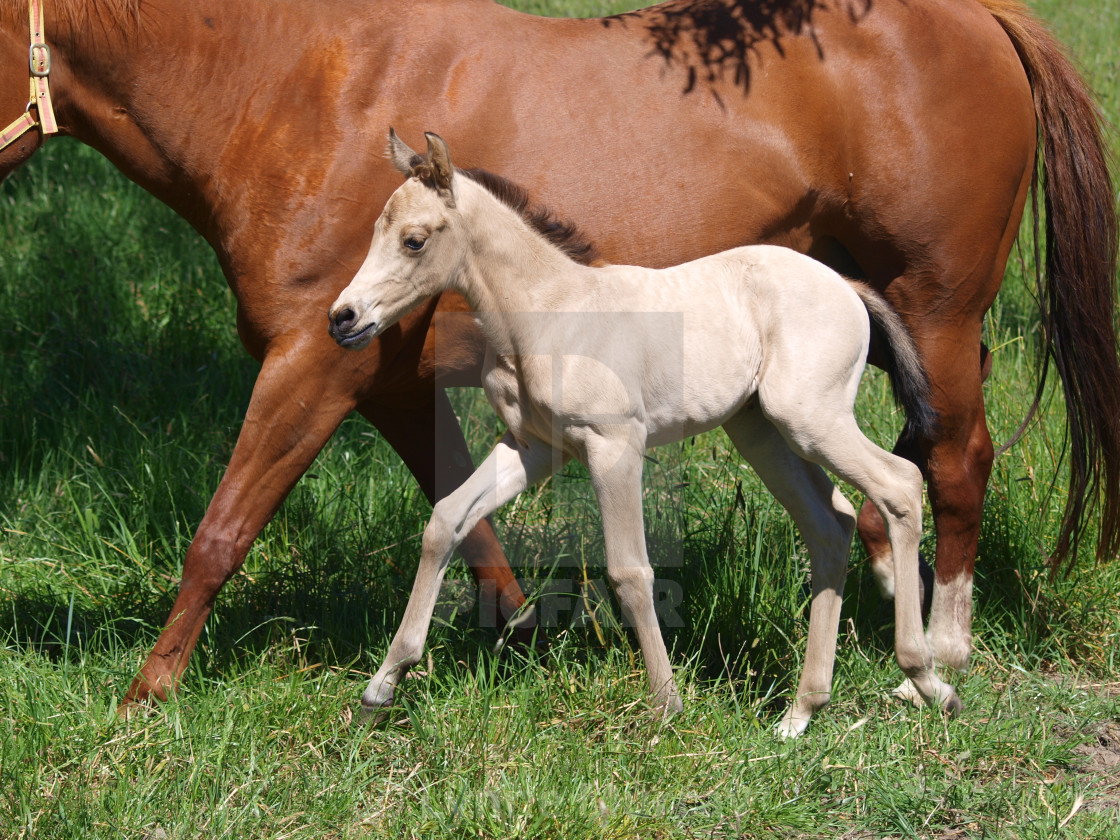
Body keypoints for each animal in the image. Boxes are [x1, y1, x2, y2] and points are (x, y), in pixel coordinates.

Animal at [327, 131, 963, 734]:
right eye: (377, 229)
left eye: (413, 240)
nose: (343, 318)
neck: (550, 312)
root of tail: (848, 286)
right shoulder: (533, 449)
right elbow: (446, 521)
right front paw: (381, 687)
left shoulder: (613, 446)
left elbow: (630, 571)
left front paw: (666, 705)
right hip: (761, 432)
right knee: (831, 523)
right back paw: (801, 712)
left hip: (811, 419)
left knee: (900, 484)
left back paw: (929, 679)